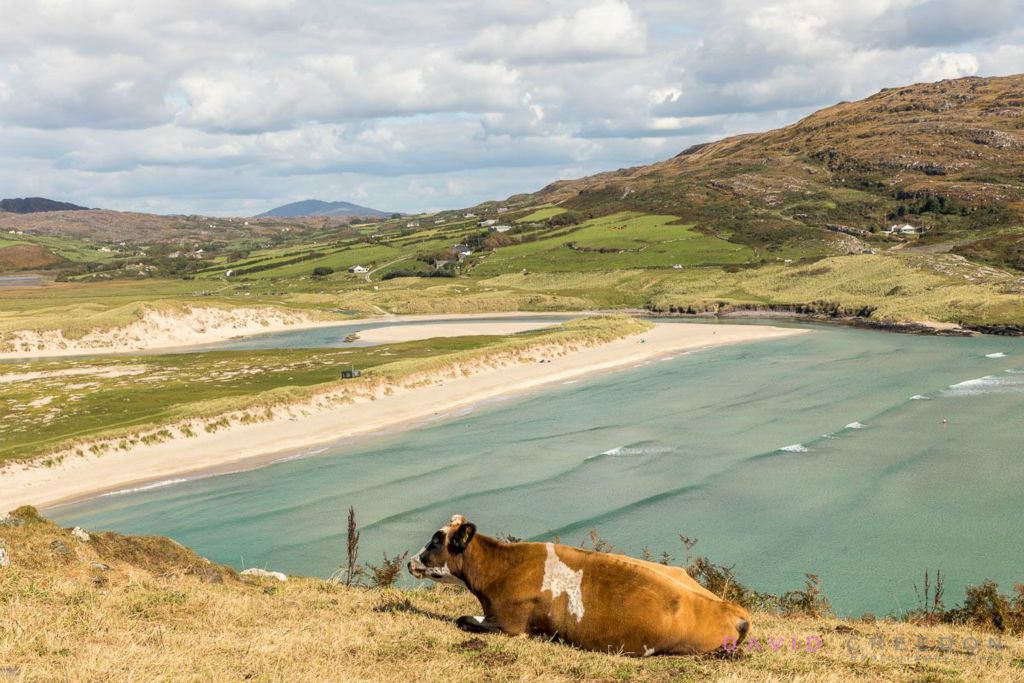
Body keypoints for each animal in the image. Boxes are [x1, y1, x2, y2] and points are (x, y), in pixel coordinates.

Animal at [408, 514, 750, 656]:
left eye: (435, 541)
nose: (410, 562)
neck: (500, 569)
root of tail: (731, 609)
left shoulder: (509, 622)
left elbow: (463, 619)